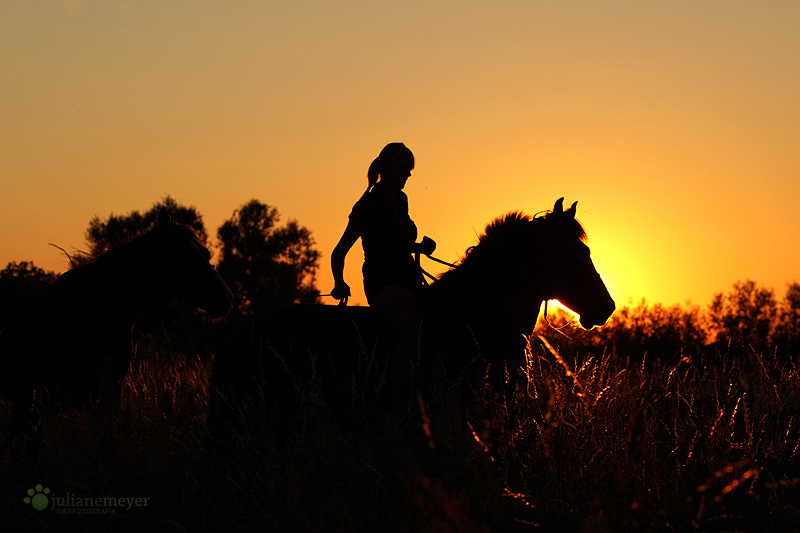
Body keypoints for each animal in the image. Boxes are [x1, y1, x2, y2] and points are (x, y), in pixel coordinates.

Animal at [0, 208, 231, 436]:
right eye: (181, 254)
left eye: (206, 252)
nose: (226, 298)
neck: (95, 313)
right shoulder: (44, 398)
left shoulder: (108, 395)